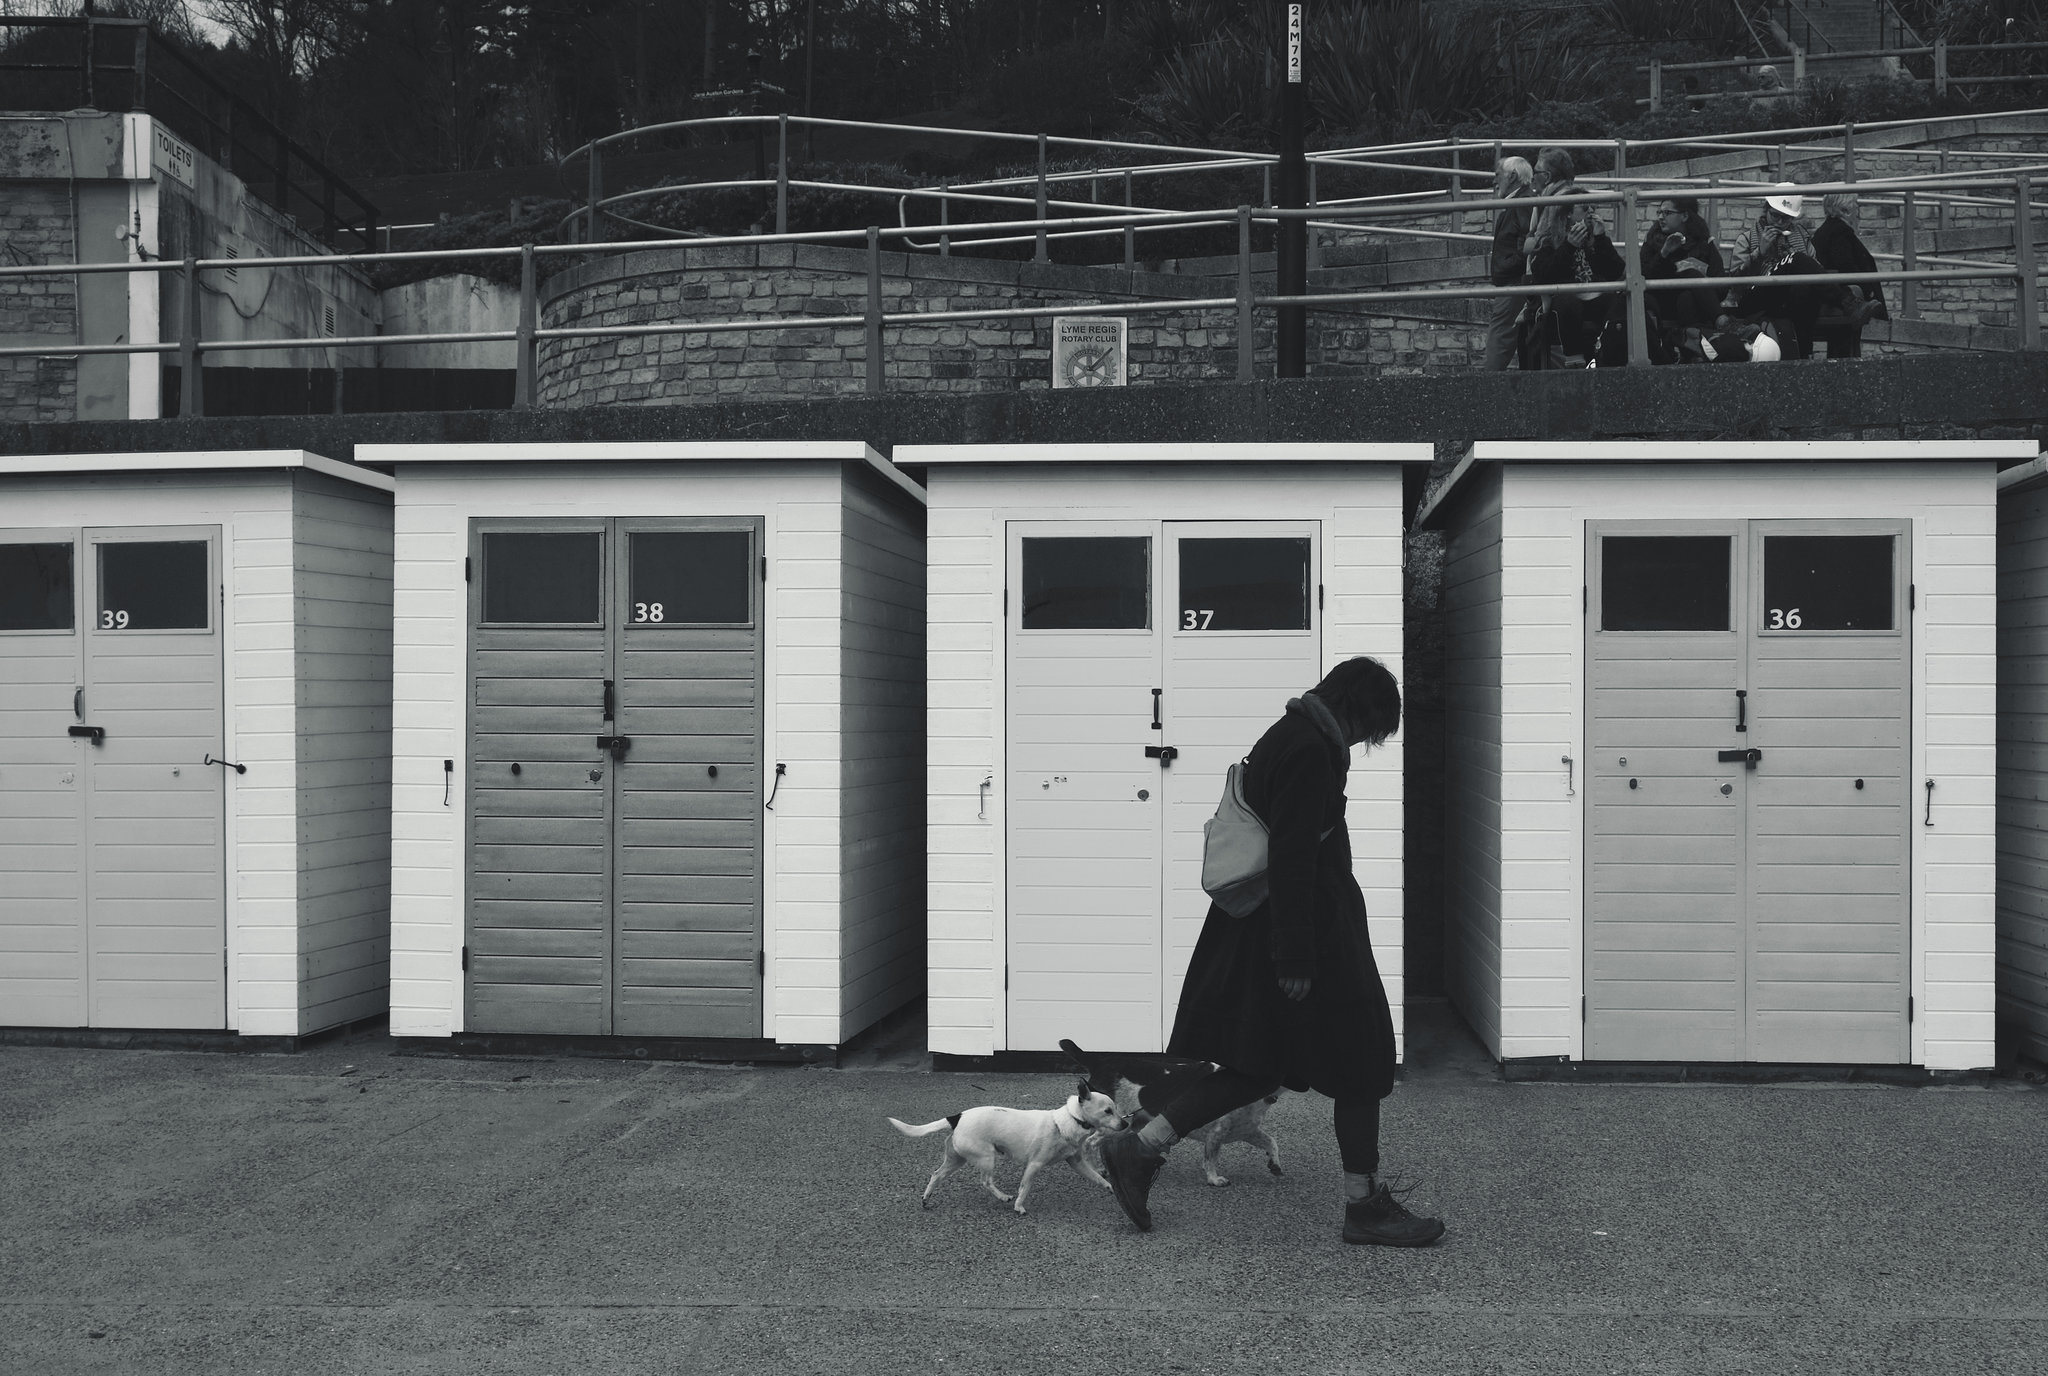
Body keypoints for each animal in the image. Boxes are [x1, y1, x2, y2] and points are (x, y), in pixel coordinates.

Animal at [888, 1081, 1130, 1212]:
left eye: (1116, 1109)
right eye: (1108, 1111)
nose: (1126, 1123)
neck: (1070, 1120)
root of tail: (957, 1117)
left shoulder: (1077, 1162)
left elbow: (1096, 1177)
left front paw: (1110, 1187)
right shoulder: (1034, 1165)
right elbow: (1025, 1187)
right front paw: (1019, 1207)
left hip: (956, 1159)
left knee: (937, 1174)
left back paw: (926, 1199)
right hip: (986, 1157)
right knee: (985, 1181)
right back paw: (1003, 1196)